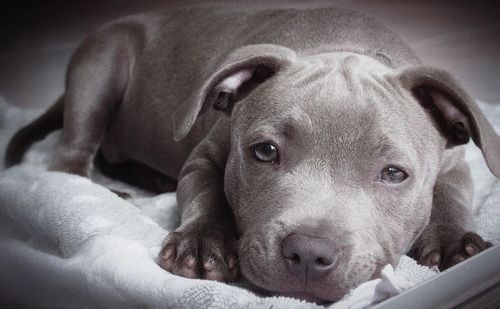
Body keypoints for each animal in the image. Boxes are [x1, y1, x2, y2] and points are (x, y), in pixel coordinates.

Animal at [5, 3, 498, 302]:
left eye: (395, 174)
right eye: (264, 152)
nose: (308, 254)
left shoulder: (456, 165)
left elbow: (450, 197)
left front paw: (453, 240)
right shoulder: (205, 155)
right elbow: (208, 193)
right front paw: (203, 242)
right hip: (100, 69)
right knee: (70, 160)